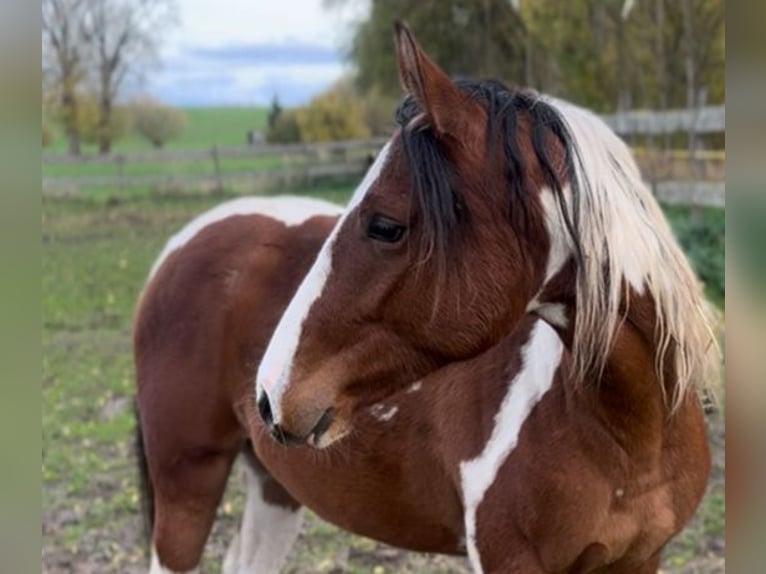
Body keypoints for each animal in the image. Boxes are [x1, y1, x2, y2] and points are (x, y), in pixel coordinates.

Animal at [134, 23, 718, 574]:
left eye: (385, 225)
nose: (271, 390)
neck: (630, 430)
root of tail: (178, 248)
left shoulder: (640, 558)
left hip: (273, 487)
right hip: (188, 482)